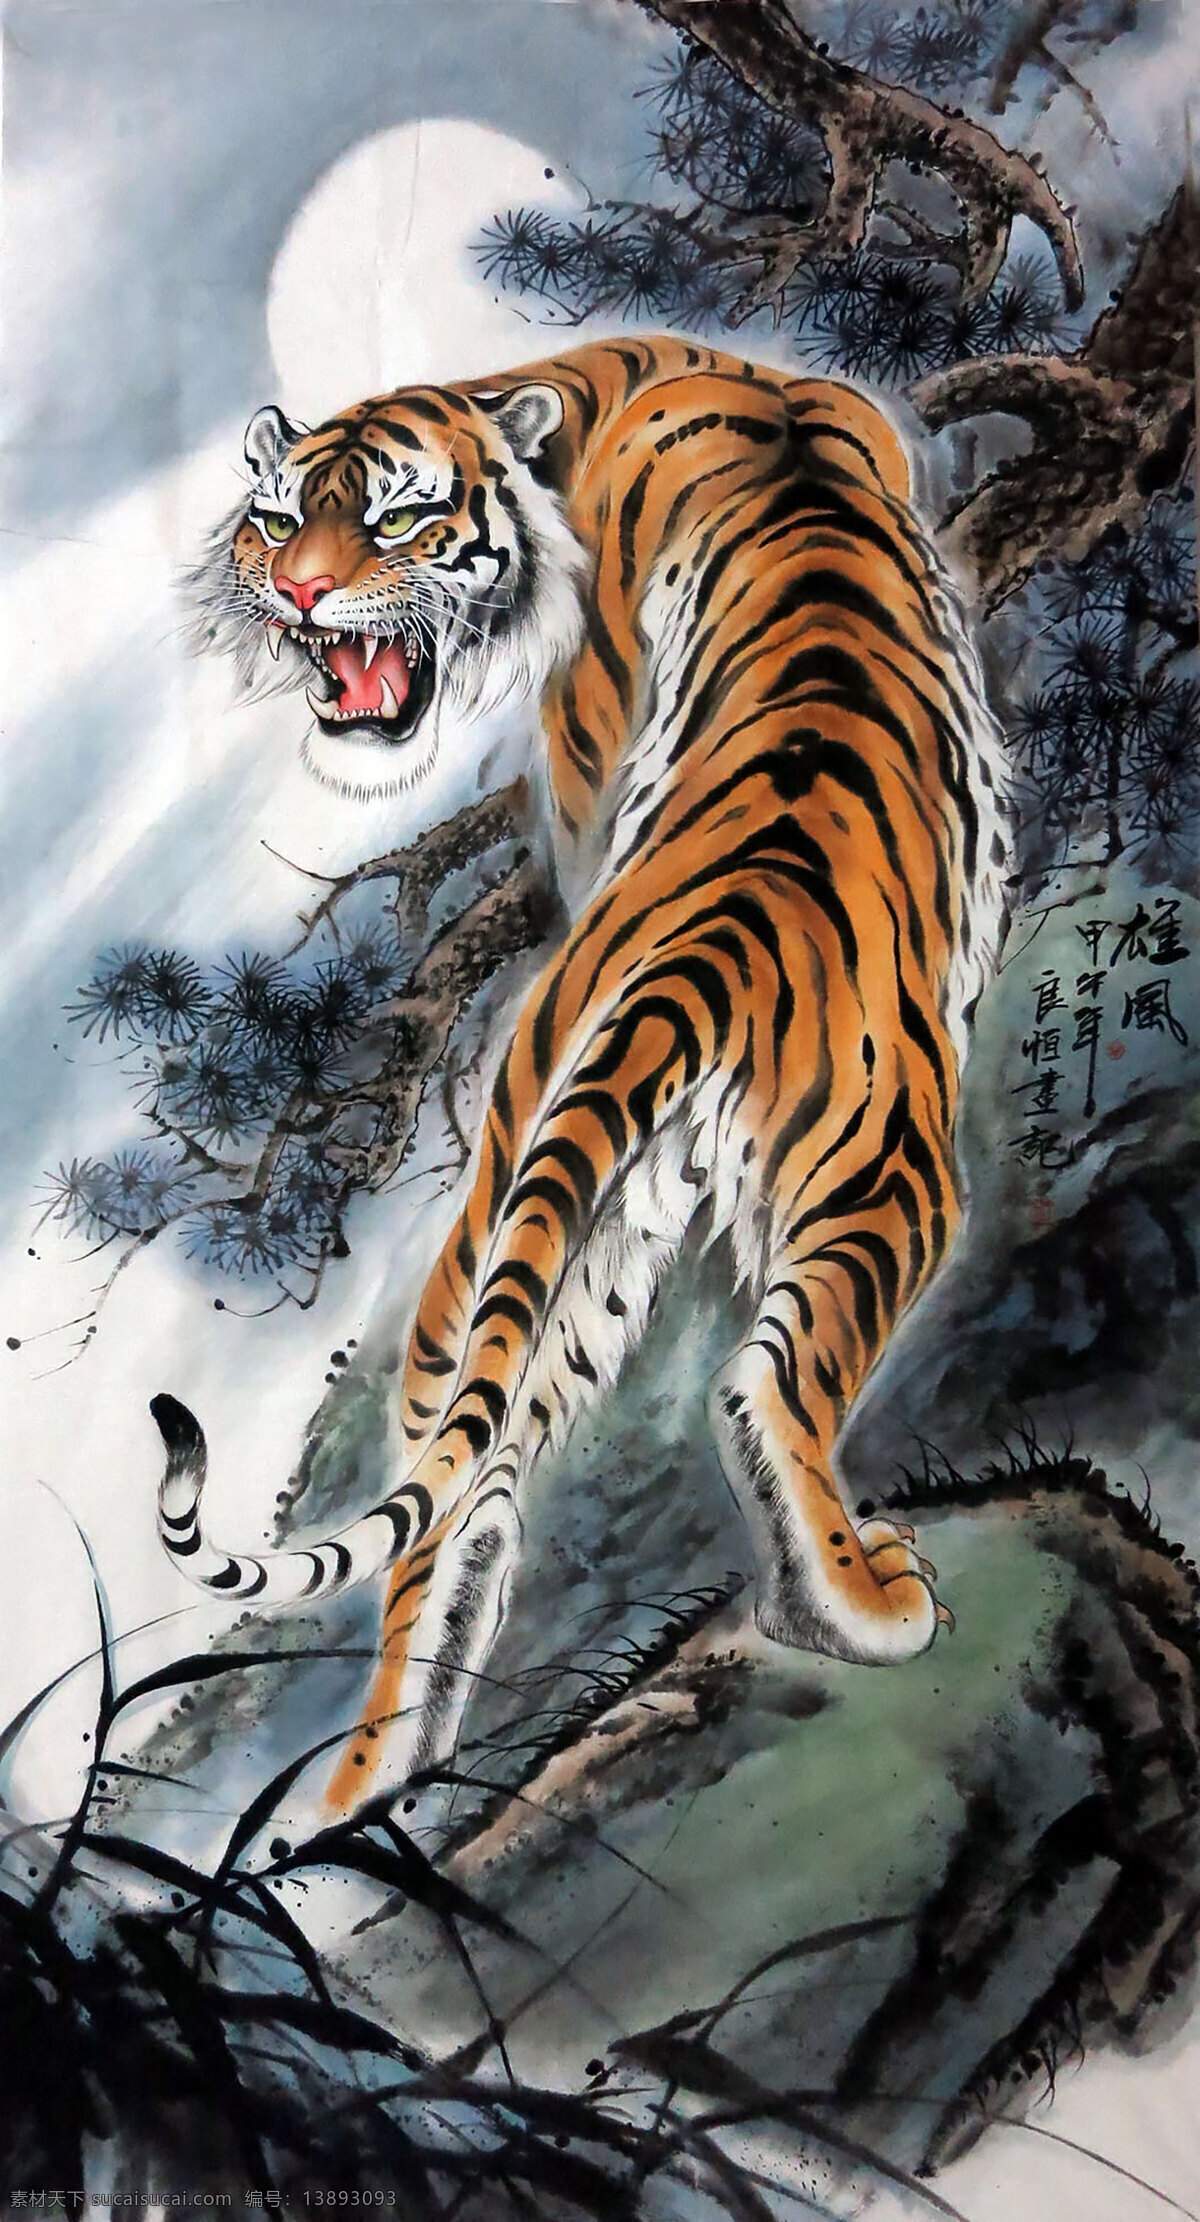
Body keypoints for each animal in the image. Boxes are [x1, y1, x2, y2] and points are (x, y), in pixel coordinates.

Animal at [157, 334, 1009, 1812]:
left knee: (451, 1515)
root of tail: (708, 946)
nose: (295, 591)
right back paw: (863, 1602)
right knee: (763, 1386)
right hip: (886, 1170)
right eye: (275, 518)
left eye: (393, 518)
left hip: (525, 1238)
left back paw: (371, 1793)